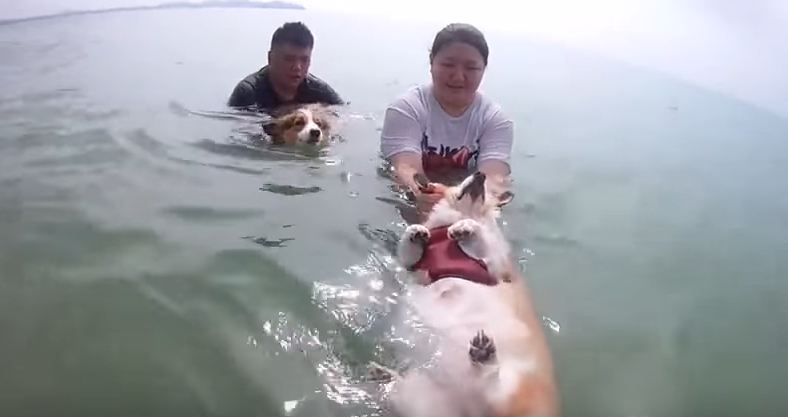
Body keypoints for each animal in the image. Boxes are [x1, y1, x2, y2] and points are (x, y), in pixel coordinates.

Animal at [378, 171, 556, 416]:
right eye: (456, 183)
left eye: (488, 191)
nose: (480, 175)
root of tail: (473, 411)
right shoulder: (416, 270)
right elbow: (408, 253)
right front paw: (415, 233)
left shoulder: (496, 264)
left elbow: (483, 241)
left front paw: (466, 229)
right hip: (422, 396)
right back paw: (383, 375)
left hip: (515, 383)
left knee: (494, 390)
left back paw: (484, 357)